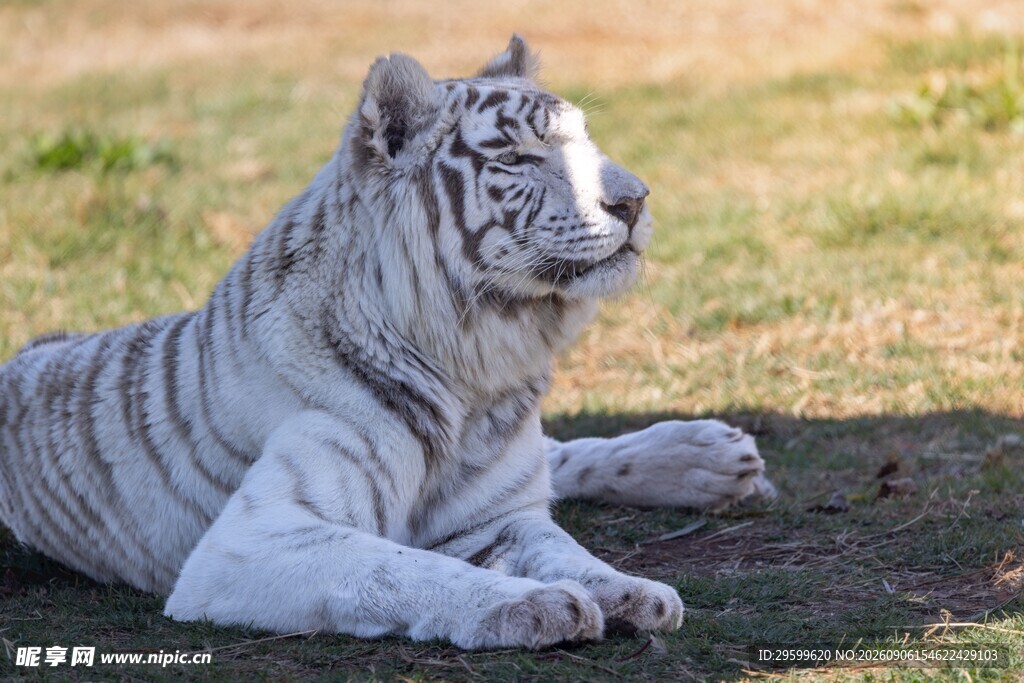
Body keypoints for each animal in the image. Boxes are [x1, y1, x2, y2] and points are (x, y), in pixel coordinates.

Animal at [0, 36, 774, 649]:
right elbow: (400, 567)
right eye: (521, 155)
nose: (636, 199)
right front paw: (536, 603)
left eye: (586, 143)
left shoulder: (501, 514)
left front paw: (631, 589)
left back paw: (712, 457)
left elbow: (563, 544)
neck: (476, 375)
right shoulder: (250, 540)